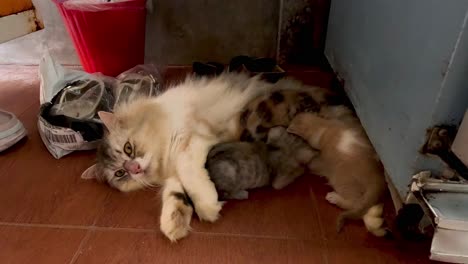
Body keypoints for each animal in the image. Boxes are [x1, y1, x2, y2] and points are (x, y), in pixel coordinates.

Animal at [80, 72, 344, 241]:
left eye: (128, 149)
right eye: (120, 173)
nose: (133, 169)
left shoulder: (193, 141)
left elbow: (189, 175)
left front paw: (207, 206)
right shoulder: (176, 169)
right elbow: (175, 193)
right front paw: (174, 224)